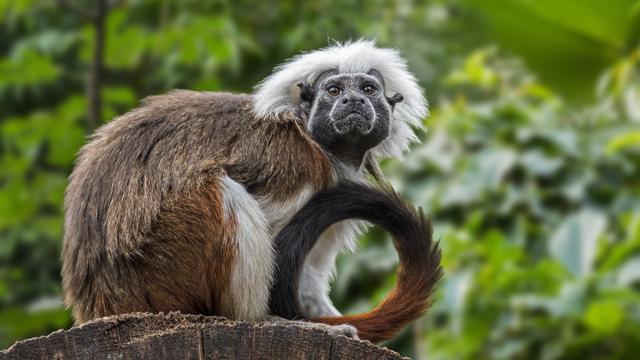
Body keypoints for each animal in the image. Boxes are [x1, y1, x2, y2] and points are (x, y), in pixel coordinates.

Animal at [61, 39, 440, 344]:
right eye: (334, 91)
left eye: (368, 89)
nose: (352, 100)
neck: (318, 142)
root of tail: (102, 304)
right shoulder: (297, 166)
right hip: (161, 271)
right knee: (221, 190)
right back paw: (260, 319)